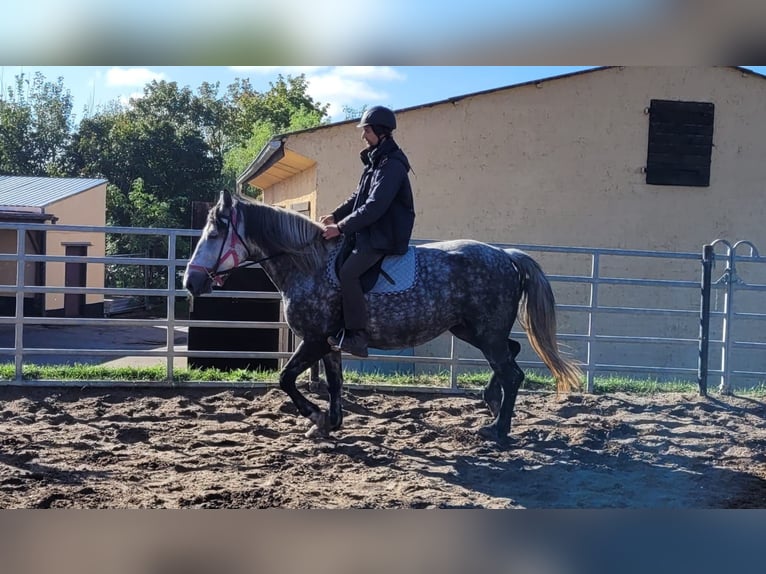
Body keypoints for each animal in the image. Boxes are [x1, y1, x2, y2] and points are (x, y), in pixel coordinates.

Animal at [184, 191, 584, 448]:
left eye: (215, 233)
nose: (190, 282)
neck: (309, 265)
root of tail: (506, 255)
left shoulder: (313, 340)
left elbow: (285, 379)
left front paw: (315, 417)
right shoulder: (329, 343)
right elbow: (334, 384)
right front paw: (329, 422)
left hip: (485, 333)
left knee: (512, 373)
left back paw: (497, 431)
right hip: (474, 330)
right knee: (510, 356)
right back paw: (491, 402)